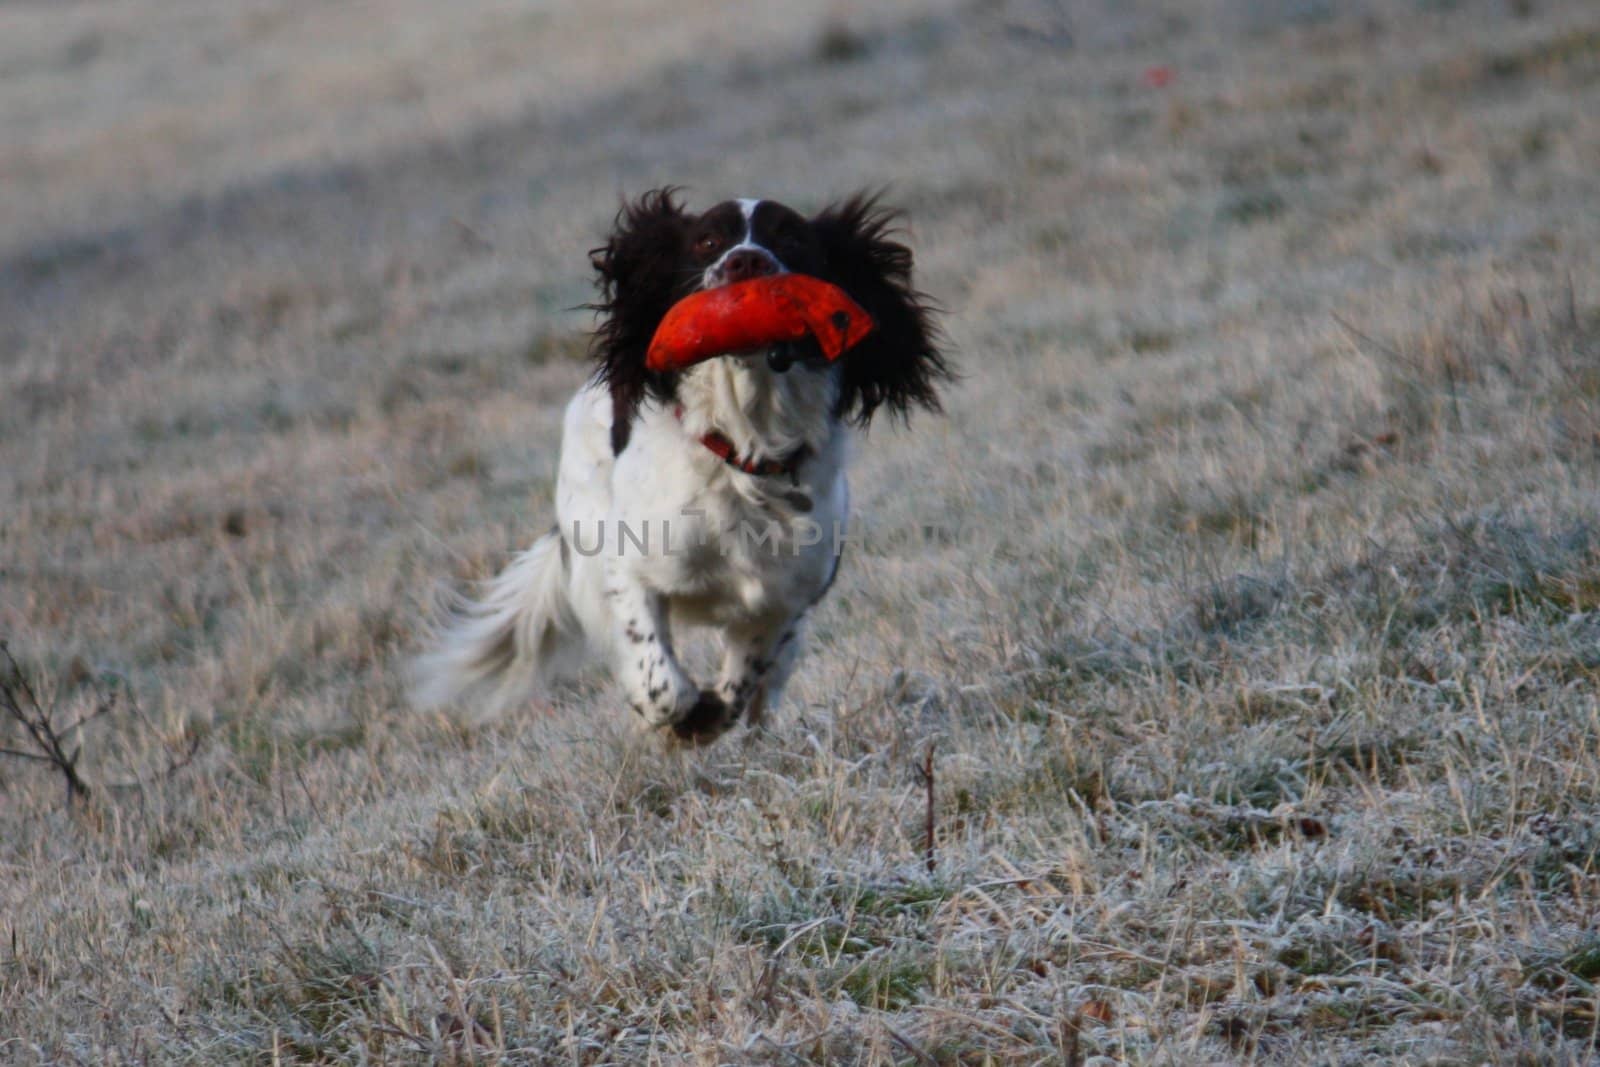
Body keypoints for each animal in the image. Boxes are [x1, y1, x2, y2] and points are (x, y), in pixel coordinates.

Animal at [416, 191, 947, 742]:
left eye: (791, 238)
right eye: (708, 241)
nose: (745, 261)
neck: (744, 449)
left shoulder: (788, 596)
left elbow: (747, 670)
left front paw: (717, 711)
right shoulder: (628, 565)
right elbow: (658, 675)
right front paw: (685, 715)